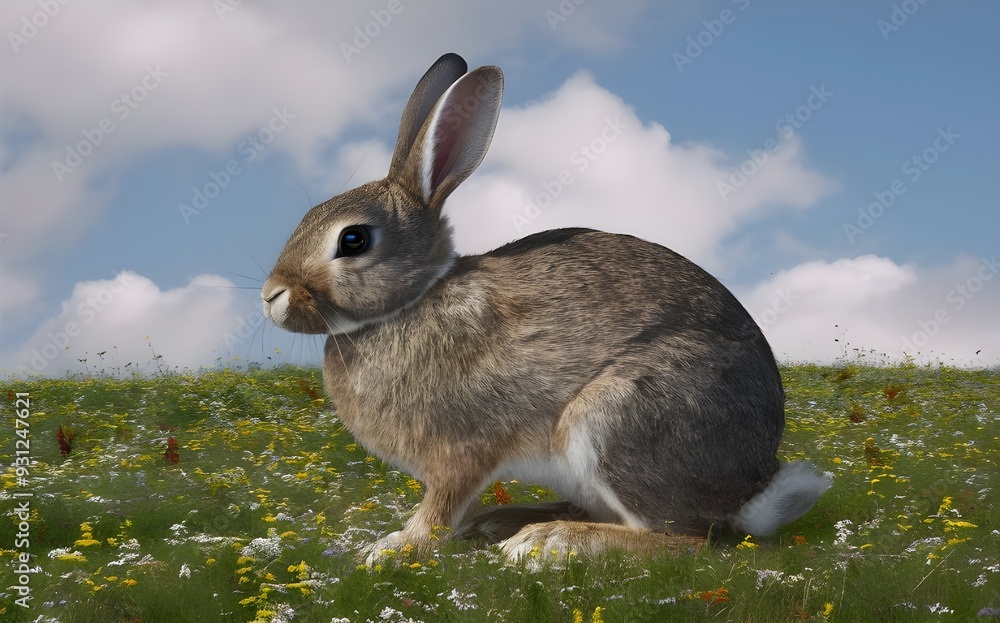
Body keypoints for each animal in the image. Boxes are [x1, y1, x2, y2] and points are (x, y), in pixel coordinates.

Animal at [261, 52, 831, 562]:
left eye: (353, 240)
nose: (270, 296)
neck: (413, 300)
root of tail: (749, 492)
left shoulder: (459, 450)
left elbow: (439, 507)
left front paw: (393, 546)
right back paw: (506, 523)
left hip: (618, 417)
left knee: (686, 540)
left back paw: (549, 542)